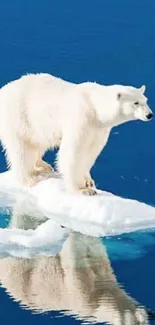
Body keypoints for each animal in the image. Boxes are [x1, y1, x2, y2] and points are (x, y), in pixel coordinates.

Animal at [0, 73, 153, 195]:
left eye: (146, 100)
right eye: (135, 103)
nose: (149, 115)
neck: (95, 108)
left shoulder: (98, 129)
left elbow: (91, 152)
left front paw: (89, 181)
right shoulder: (81, 119)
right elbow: (74, 152)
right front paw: (83, 189)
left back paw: (43, 166)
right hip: (18, 116)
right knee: (22, 149)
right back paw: (30, 178)